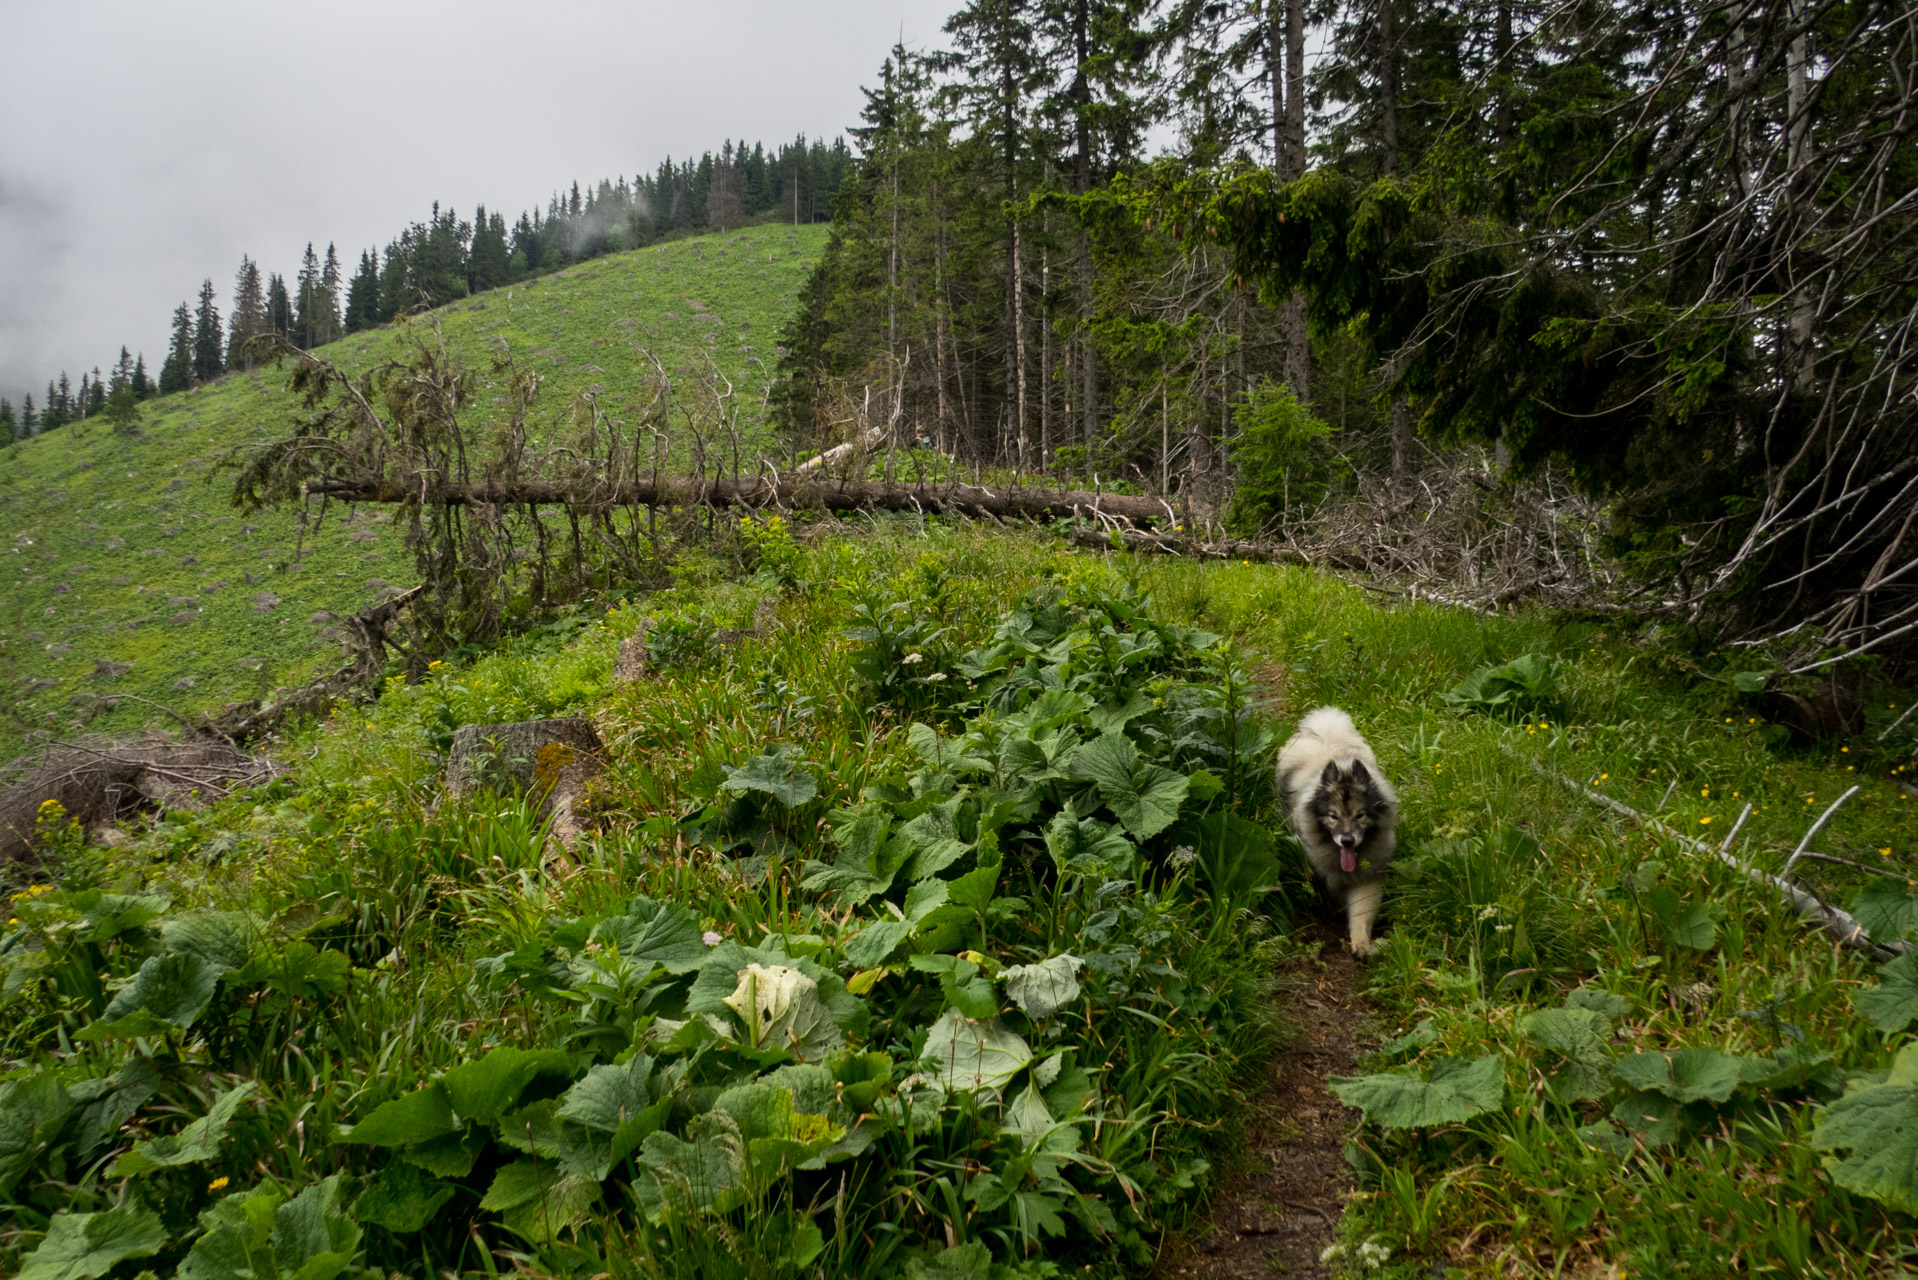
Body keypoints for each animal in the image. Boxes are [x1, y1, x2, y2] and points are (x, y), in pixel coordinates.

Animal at [1281, 706, 1403, 955]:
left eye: (1360, 815)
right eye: (1333, 816)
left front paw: (1361, 944)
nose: (1347, 840)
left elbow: (1361, 912)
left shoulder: (1368, 878)